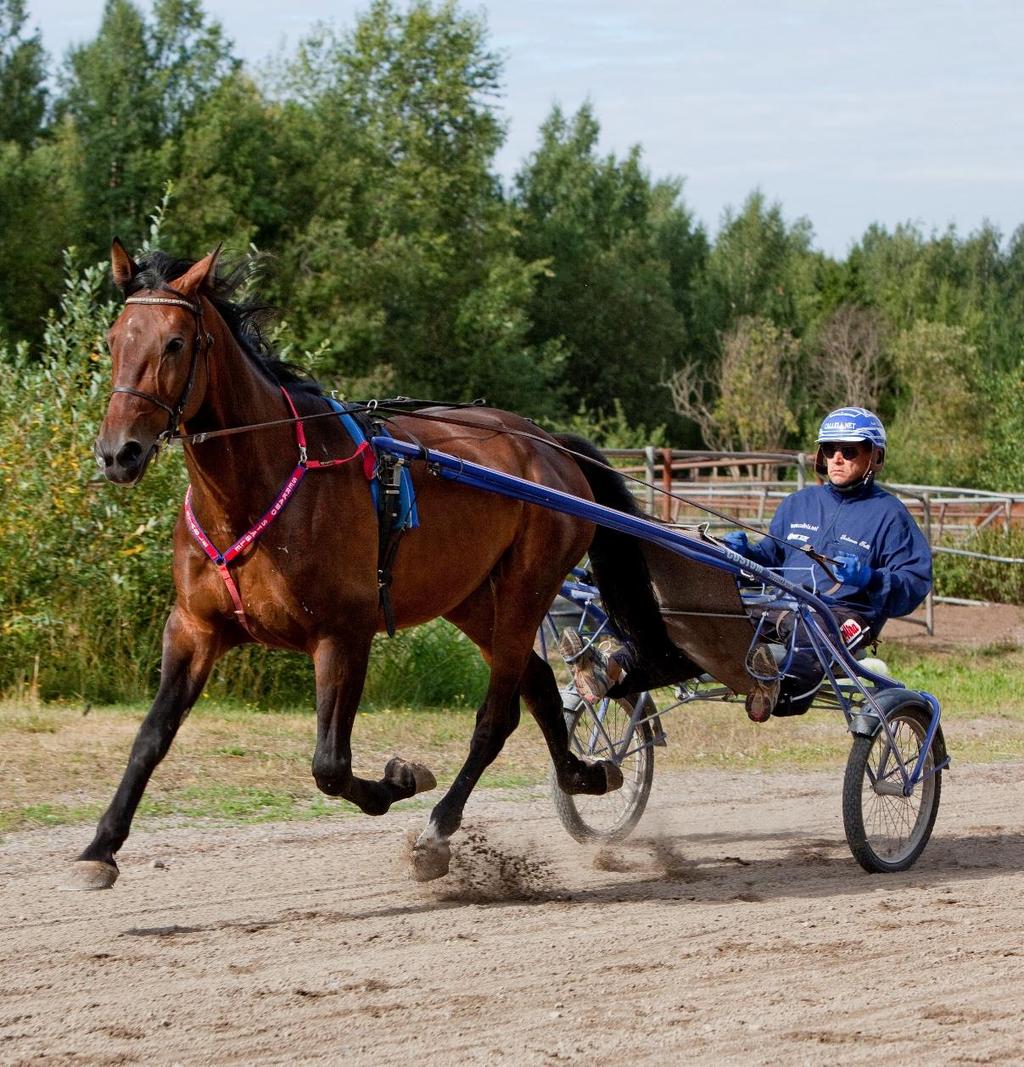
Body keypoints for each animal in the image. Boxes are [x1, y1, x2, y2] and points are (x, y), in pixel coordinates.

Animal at [72, 242, 695, 892]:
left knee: (496, 716)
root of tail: (548, 445)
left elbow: (329, 765)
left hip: (529, 585)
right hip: (473, 599)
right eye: (114, 338)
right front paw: (100, 848)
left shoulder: (342, 634)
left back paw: (438, 832)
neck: (262, 481)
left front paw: (401, 779)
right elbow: (151, 737)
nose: (119, 452)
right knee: (541, 687)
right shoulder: (194, 628)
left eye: (175, 343)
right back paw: (586, 774)